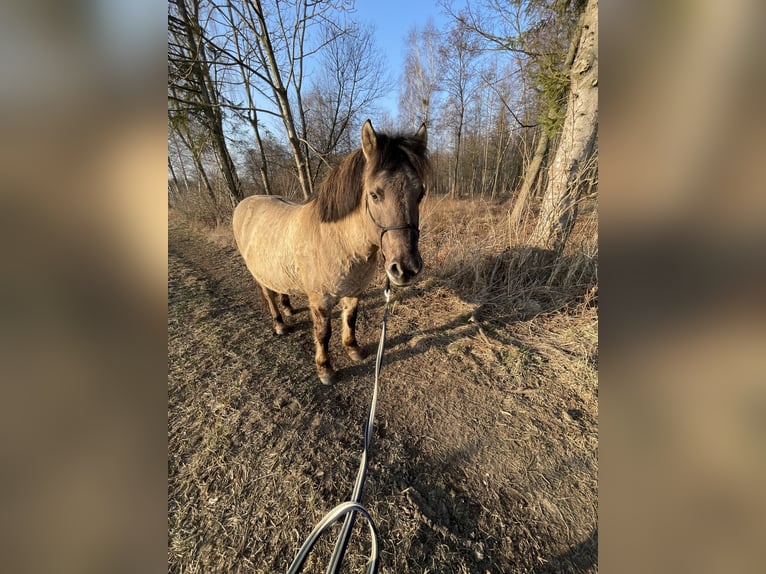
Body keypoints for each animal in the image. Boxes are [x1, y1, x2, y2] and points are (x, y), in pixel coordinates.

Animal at [233, 120, 430, 385]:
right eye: (374, 194)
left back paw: (288, 307)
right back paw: (280, 323)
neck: (338, 241)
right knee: (269, 295)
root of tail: (245, 203)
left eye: (420, 193)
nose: (406, 268)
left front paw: (353, 349)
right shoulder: (321, 301)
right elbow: (323, 333)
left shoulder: (355, 291)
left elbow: (350, 319)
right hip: (258, 273)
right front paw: (325, 368)